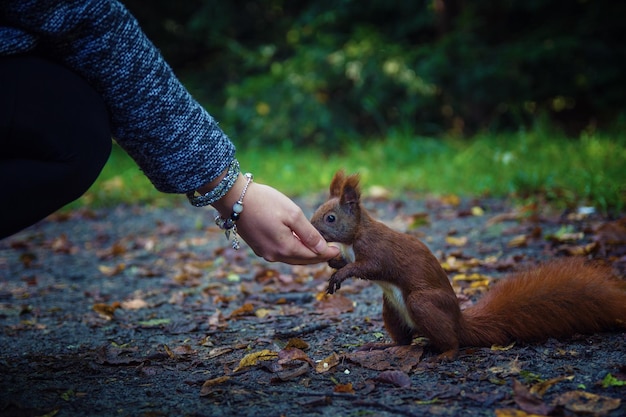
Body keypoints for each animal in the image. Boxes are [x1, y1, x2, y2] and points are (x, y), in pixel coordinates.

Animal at [310, 169, 624, 358]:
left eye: (330, 218)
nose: (312, 227)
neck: (354, 237)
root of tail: (459, 322)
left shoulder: (376, 250)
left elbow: (370, 267)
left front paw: (341, 274)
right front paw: (334, 262)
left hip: (423, 303)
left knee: (452, 341)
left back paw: (445, 354)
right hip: (392, 309)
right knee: (404, 340)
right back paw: (381, 345)